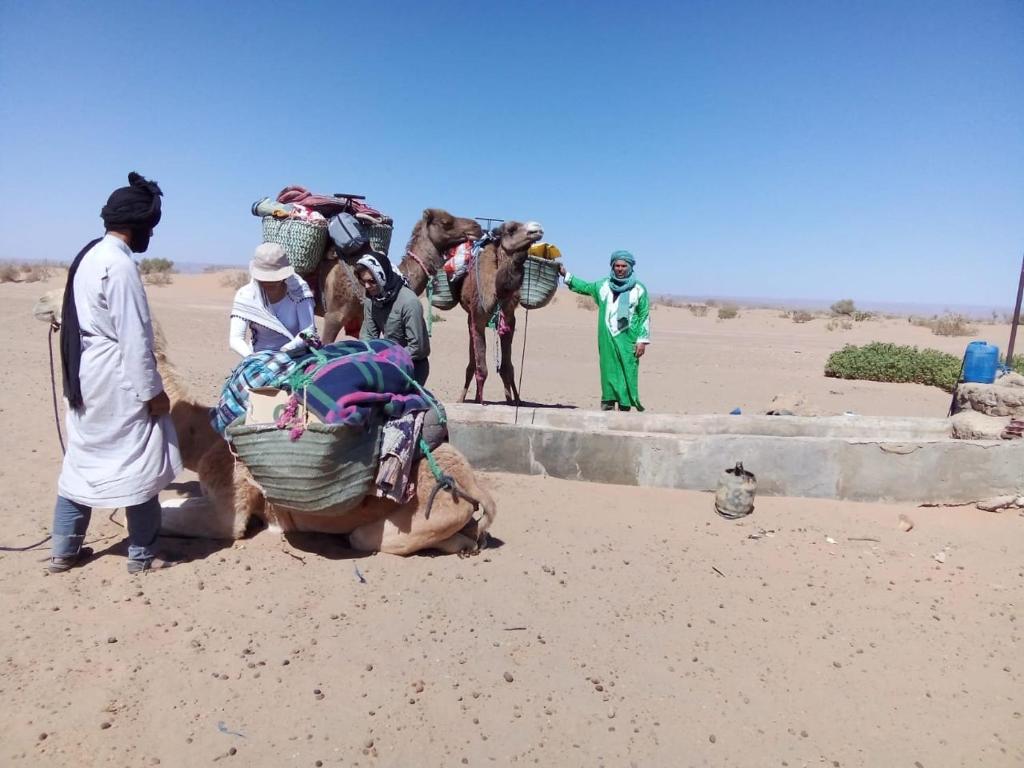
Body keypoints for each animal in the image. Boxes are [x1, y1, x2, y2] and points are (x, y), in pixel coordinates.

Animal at [460, 221, 548, 405]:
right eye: (511, 229)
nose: (537, 228)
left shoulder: (508, 319)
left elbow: (507, 368)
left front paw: (514, 401)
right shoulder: (477, 318)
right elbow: (482, 368)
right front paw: (481, 402)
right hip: (470, 318)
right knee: (473, 364)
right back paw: (464, 399)